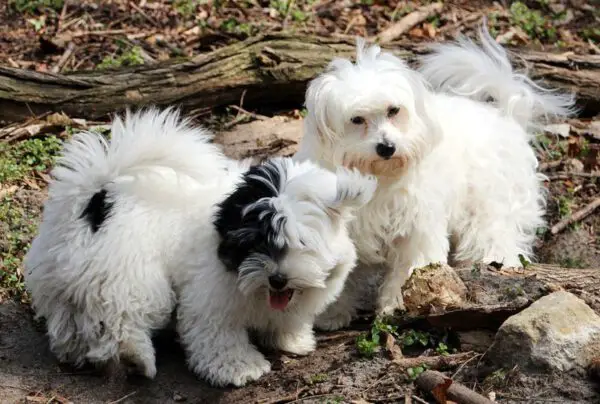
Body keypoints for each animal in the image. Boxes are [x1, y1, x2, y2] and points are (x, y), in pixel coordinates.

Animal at [25, 107, 378, 386]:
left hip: (65, 275)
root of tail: (97, 200)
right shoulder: (211, 297)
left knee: (69, 316)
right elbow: (219, 335)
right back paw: (137, 358)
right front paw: (239, 368)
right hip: (132, 275)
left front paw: (290, 339)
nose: (277, 278)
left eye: (301, 243)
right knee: (124, 319)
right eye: (254, 242)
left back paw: (75, 350)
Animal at [292, 26, 576, 322]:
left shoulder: (417, 226)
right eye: (356, 120)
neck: (379, 177)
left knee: (496, 241)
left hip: (491, 209)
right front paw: (331, 313)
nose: (387, 147)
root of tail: (507, 117)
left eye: (394, 110)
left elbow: (409, 267)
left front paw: (397, 304)